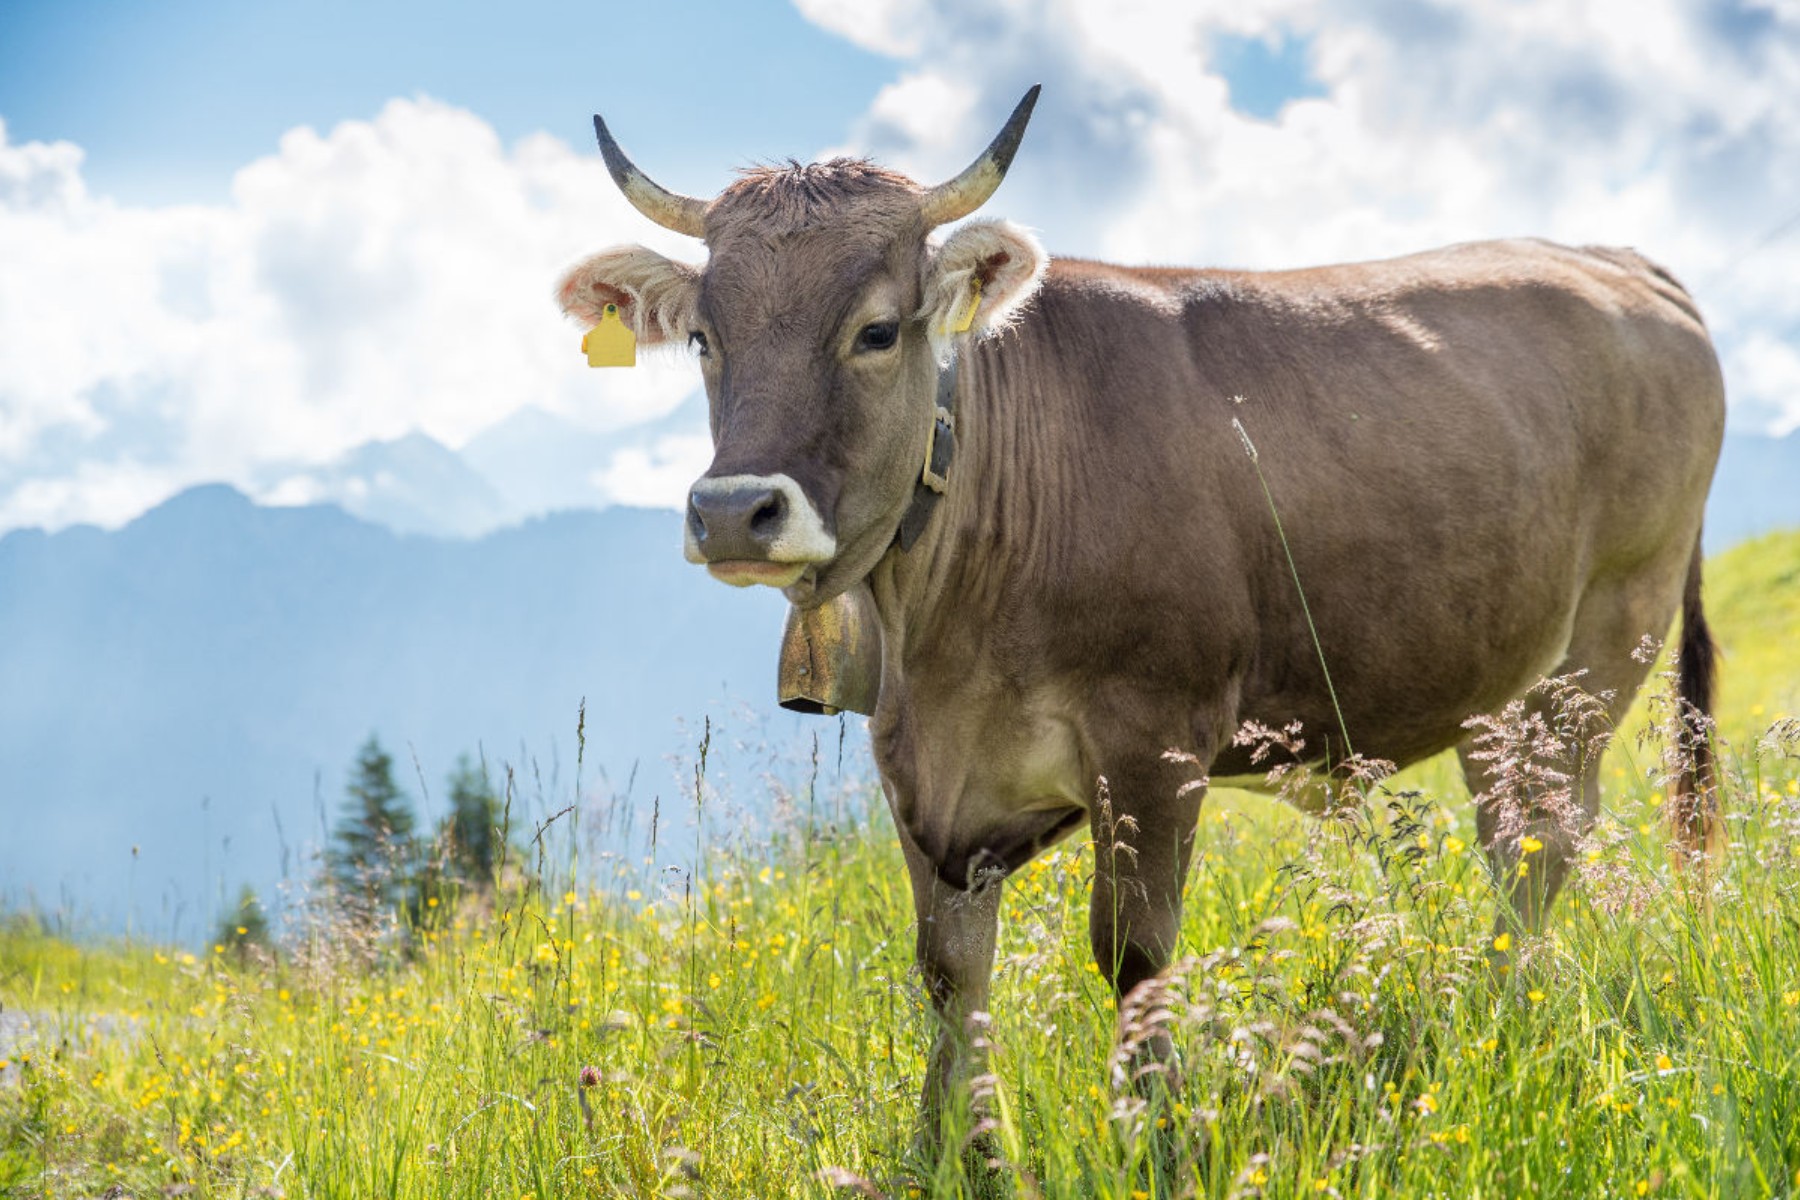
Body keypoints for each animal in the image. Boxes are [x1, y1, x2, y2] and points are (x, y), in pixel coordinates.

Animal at [554, 89, 1720, 1144]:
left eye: (877, 331)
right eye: (703, 338)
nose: (731, 510)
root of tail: (1612, 258)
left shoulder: (1153, 742)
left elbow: (1135, 956)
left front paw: (1150, 1134)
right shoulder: (917, 767)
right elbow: (950, 971)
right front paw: (959, 1149)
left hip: (1610, 633)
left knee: (1545, 838)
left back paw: (1497, 1007)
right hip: (1498, 685)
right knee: (1507, 829)